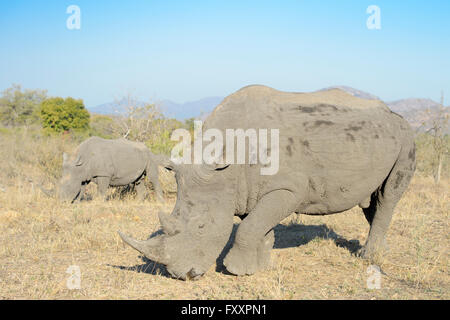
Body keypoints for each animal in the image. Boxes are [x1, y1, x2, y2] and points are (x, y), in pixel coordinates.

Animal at [118, 85, 414, 280]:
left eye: (202, 227)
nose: (183, 275)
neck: (225, 165)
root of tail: (392, 113)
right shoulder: (245, 189)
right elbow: (258, 226)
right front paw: (257, 268)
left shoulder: (289, 189)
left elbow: (249, 227)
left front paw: (235, 271)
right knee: (371, 201)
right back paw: (379, 250)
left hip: (406, 135)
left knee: (387, 196)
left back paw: (368, 257)